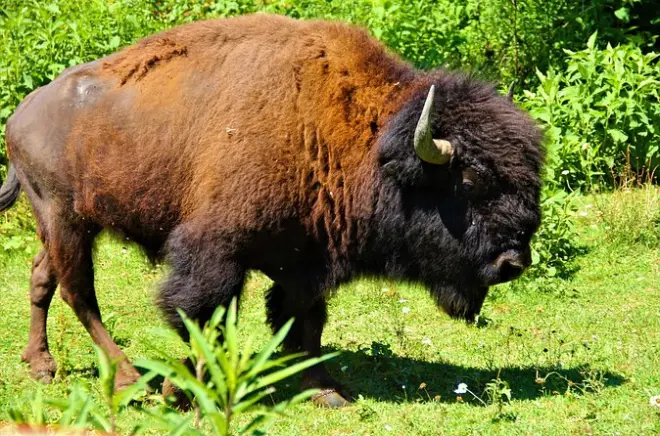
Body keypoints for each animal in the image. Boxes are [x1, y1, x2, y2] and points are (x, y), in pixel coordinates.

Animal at [0, 14, 542, 407]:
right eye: (469, 181)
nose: (513, 262)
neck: (362, 140)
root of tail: (23, 111)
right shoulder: (215, 252)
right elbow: (206, 315)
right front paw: (191, 390)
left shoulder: (306, 258)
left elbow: (307, 320)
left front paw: (326, 390)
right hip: (65, 218)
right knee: (79, 293)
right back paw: (130, 379)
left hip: (64, 224)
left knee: (42, 276)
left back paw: (41, 365)